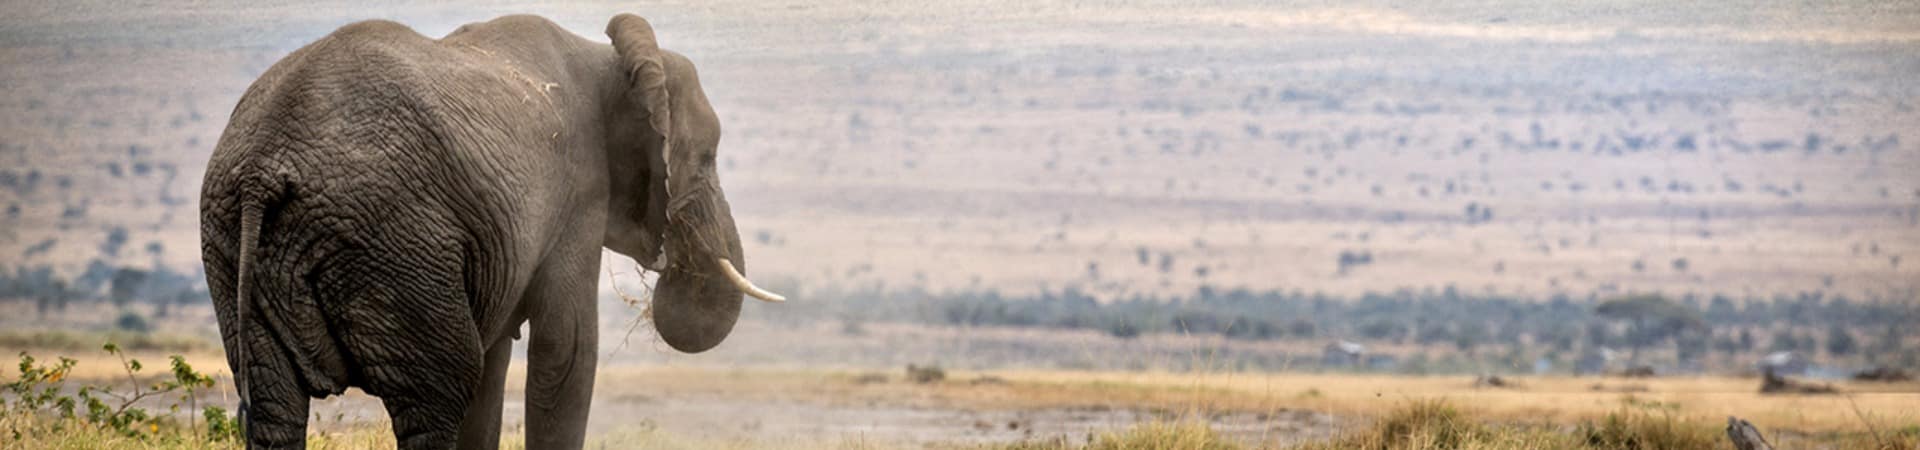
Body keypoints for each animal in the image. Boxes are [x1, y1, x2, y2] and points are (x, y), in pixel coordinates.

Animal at [198, 12, 783, 448]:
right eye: (707, 159)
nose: (674, 264)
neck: (609, 58)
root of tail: (263, 168)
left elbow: (497, 360)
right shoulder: (577, 193)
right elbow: (567, 352)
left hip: (231, 244)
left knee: (274, 407)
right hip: (393, 240)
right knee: (438, 395)